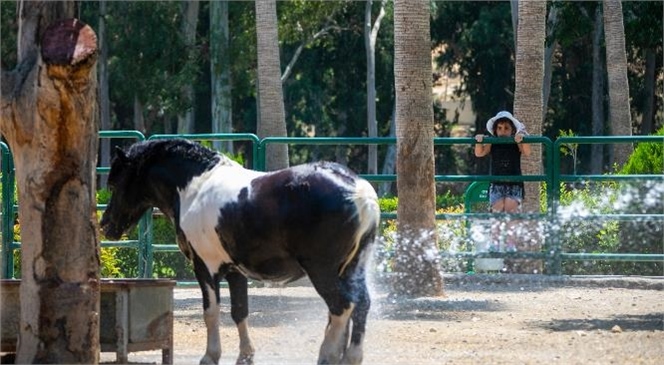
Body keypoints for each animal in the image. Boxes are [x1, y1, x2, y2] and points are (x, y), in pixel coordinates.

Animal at [98, 138, 378, 362]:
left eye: (113, 184)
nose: (105, 226)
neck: (196, 187)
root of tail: (359, 192)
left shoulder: (204, 267)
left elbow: (211, 313)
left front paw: (210, 356)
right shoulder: (235, 271)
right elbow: (239, 311)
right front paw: (245, 355)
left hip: (322, 271)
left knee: (341, 307)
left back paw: (327, 355)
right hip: (352, 269)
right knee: (360, 305)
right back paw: (350, 357)